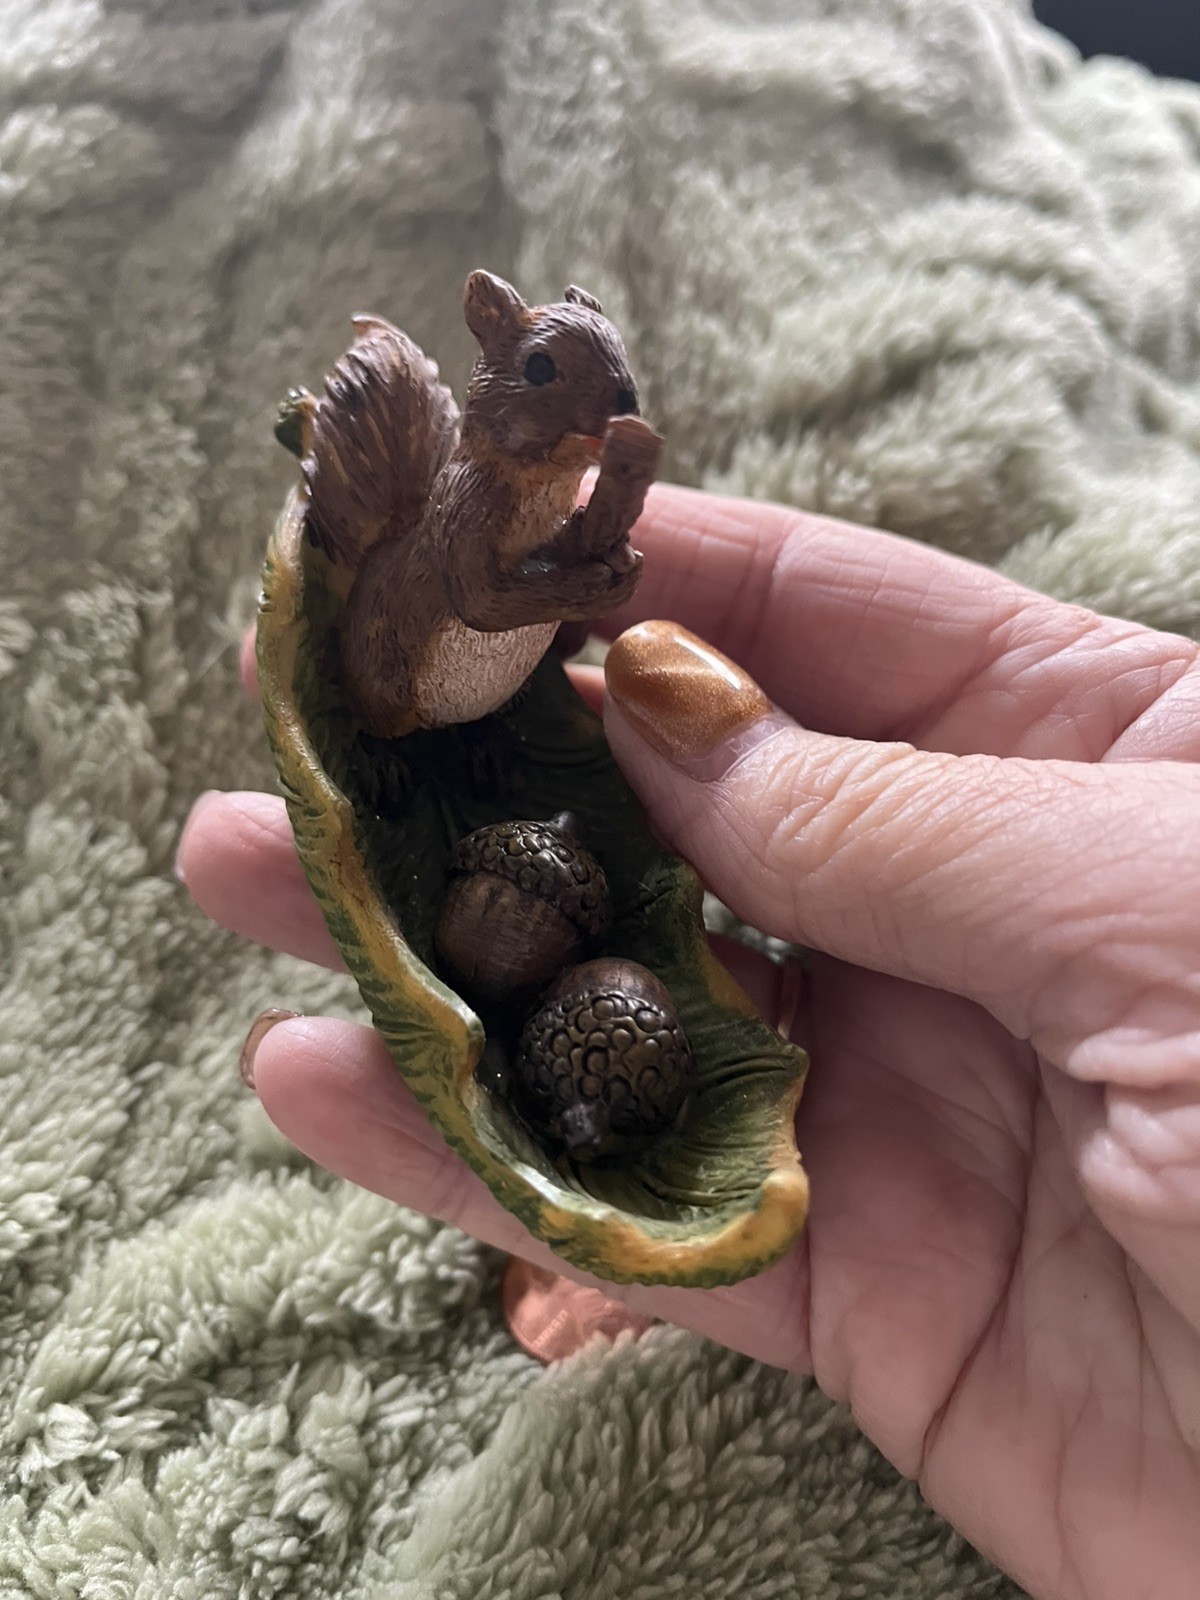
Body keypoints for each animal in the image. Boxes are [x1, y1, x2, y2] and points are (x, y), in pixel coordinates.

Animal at [281, 270, 663, 741]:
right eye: (539, 367)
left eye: (620, 347)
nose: (627, 400)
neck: (547, 484)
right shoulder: (462, 514)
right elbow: (484, 598)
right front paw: (589, 589)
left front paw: (616, 555)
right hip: (386, 685)